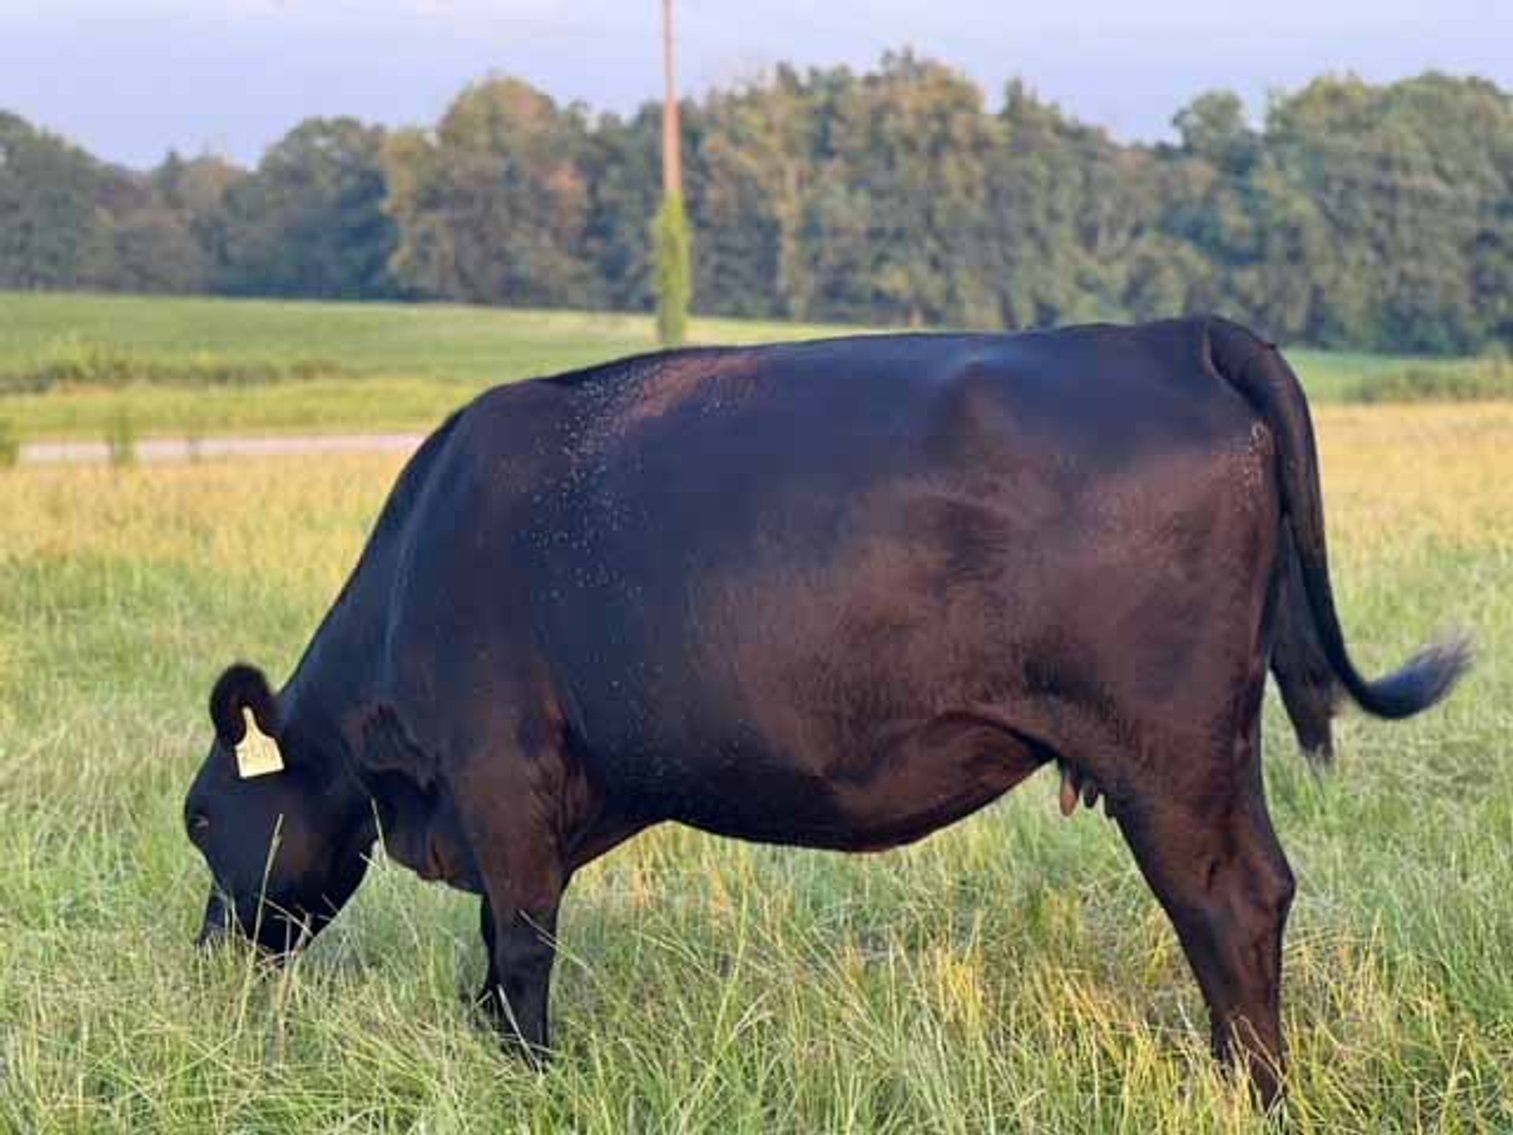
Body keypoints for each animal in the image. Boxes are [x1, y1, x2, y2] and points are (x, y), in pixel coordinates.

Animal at [183, 316, 1467, 1107]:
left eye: (200, 819)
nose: (205, 956)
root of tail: (1171, 334)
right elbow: (499, 953)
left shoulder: (502, 778)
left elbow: (520, 951)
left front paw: (530, 1078)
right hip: (1209, 746)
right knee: (1258, 891)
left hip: (1167, 747)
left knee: (1228, 900)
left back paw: (1250, 1090)